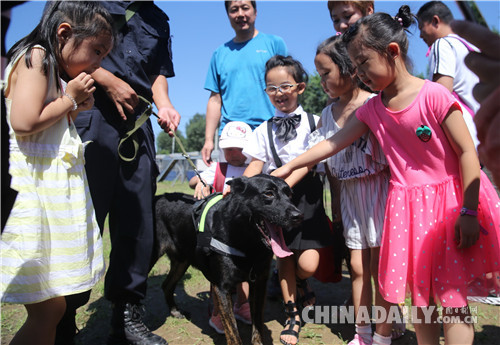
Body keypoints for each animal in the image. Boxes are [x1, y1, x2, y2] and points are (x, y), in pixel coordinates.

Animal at [150, 175, 302, 344]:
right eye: (268, 193)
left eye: (290, 195)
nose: (298, 216)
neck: (248, 244)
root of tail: (157, 198)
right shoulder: (222, 287)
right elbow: (233, 332)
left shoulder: (259, 283)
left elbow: (257, 325)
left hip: (182, 261)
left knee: (166, 285)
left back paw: (175, 311)